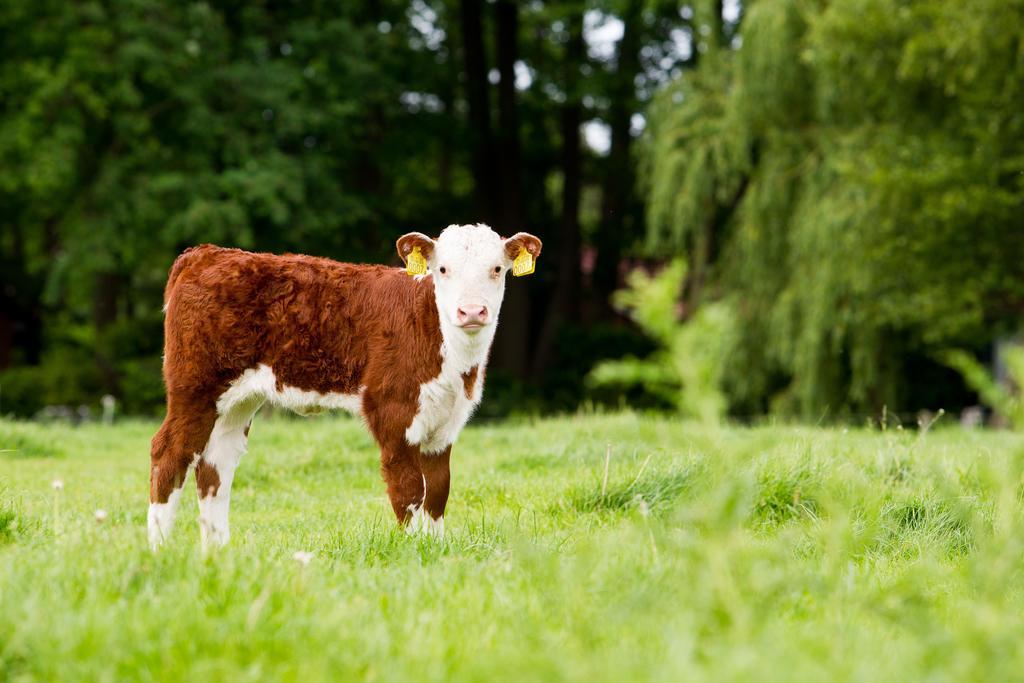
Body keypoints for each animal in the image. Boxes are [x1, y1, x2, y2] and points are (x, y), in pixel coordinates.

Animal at [149, 224, 544, 548]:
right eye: (442, 269)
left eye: (497, 269)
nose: (472, 311)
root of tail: (207, 253)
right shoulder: (392, 411)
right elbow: (408, 489)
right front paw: (414, 552)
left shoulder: (446, 422)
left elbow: (438, 489)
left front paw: (437, 548)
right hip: (195, 387)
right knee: (170, 452)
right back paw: (160, 551)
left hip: (235, 400)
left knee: (215, 464)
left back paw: (218, 553)